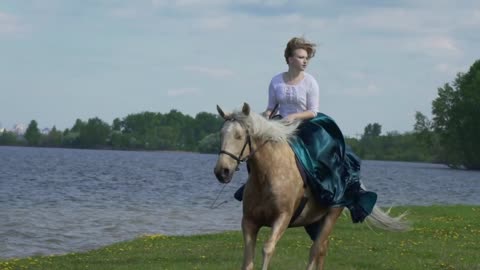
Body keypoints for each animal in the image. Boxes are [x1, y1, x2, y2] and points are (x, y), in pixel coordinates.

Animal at [214, 103, 408, 270]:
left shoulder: (282, 219)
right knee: (322, 249)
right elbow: (247, 259)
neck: (267, 175)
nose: (221, 171)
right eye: (221, 134)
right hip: (314, 221)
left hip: (331, 215)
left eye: (239, 136)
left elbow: (268, 248)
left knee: (316, 249)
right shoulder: (249, 222)